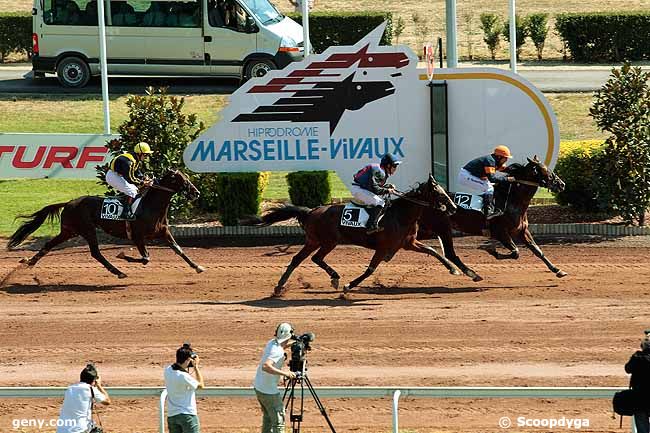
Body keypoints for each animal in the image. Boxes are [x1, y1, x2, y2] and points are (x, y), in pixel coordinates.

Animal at [6, 169, 204, 276]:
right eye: (180, 179)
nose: (196, 193)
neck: (150, 206)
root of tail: (69, 203)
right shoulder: (138, 236)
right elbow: (146, 258)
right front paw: (122, 255)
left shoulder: (164, 232)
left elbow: (179, 250)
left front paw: (198, 267)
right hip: (87, 229)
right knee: (95, 253)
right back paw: (118, 271)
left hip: (70, 231)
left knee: (49, 244)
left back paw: (30, 262)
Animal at [249, 173, 470, 296]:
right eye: (439, 193)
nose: (453, 207)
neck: (400, 214)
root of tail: (311, 211)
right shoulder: (383, 247)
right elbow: (370, 269)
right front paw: (349, 286)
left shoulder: (408, 243)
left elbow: (433, 250)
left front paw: (454, 269)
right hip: (327, 241)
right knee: (313, 258)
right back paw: (334, 279)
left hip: (315, 241)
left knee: (300, 259)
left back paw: (282, 286)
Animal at [418, 155, 564, 276]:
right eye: (544, 170)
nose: (561, 184)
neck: (512, 201)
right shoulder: (500, 232)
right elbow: (515, 252)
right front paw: (491, 250)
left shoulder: (522, 231)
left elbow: (537, 250)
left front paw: (557, 270)